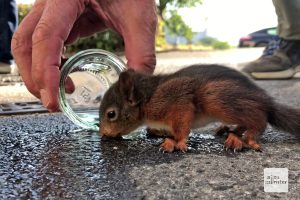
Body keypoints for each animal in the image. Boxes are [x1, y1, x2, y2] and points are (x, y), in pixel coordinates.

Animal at [99, 65, 300, 152]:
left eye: (111, 114)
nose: (103, 135)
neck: (147, 98)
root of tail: (265, 99)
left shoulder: (178, 102)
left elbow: (181, 128)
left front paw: (177, 142)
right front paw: (164, 136)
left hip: (216, 99)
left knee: (259, 119)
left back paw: (247, 138)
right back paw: (230, 131)